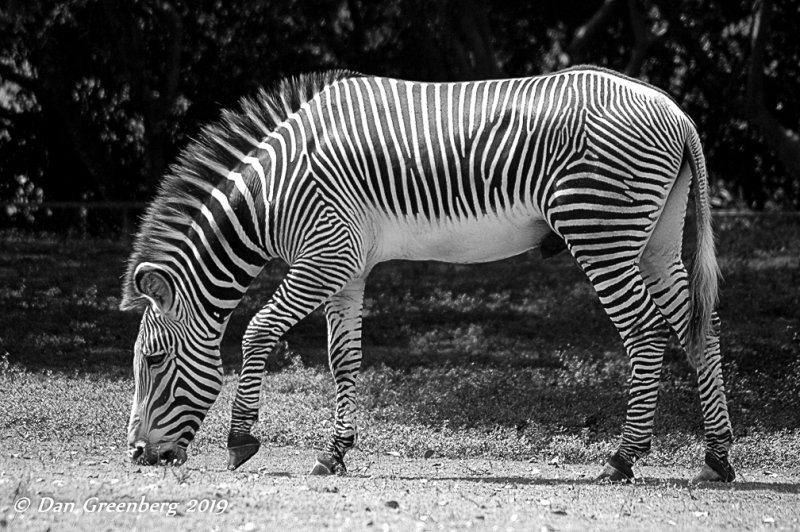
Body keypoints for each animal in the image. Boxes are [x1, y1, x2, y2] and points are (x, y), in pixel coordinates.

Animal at [120, 65, 736, 482]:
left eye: (153, 360)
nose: (138, 457)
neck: (272, 196)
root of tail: (676, 112)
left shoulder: (323, 256)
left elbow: (257, 331)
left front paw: (241, 438)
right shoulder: (347, 265)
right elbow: (344, 358)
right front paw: (335, 451)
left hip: (600, 231)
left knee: (647, 333)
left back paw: (623, 459)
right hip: (655, 240)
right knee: (700, 328)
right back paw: (716, 457)